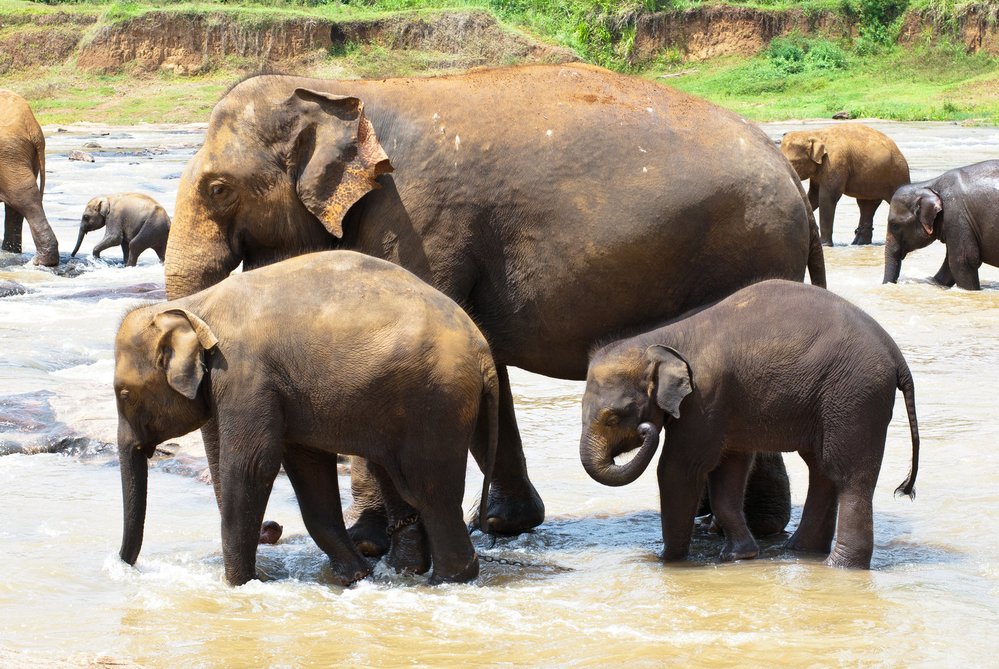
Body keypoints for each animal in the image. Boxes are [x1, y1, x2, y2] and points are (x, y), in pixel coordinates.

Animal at [0, 89, 58, 266]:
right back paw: (10, 253)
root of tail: (32, 126)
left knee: (25, 201)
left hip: (10, 155)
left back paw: (41, 261)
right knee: (16, 206)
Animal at [115, 250, 498, 584]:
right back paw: (408, 572)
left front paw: (240, 584)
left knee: (430, 491)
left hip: (436, 404)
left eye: (123, 394)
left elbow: (253, 465)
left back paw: (449, 579)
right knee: (400, 478)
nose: (123, 564)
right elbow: (308, 468)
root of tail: (484, 352)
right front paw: (356, 577)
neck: (195, 308)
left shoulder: (246, 377)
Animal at [580, 280, 920, 568]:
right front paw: (739, 556)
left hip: (854, 397)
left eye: (614, 416)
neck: (661, 339)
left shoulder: (705, 398)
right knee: (821, 469)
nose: (645, 429)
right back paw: (800, 551)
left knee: (849, 475)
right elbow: (729, 469)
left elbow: (679, 468)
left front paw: (667, 561)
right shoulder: (724, 406)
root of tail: (895, 354)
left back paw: (839, 566)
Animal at [784, 122, 912, 245]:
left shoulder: (834, 163)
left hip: (897, 174)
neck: (814, 134)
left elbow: (828, 196)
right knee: (866, 205)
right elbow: (813, 196)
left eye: (794, 163)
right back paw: (859, 243)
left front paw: (825, 244)